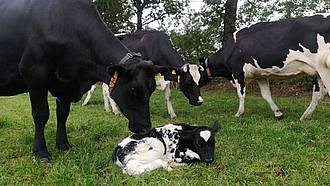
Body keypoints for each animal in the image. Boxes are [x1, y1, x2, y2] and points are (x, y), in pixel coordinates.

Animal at [0, 0, 165, 161]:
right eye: (133, 89)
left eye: (152, 89)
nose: (146, 128)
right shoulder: (34, 72)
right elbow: (41, 114)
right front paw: (41, 151)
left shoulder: (64, 82)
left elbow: (63, 113)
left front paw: (63, 144)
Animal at [199, 13, 330, 120]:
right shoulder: (260, 75)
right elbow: (266, 94)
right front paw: (277, 113)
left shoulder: (238, 72)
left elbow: (241, 94)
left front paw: (239, 113)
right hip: (317, 71)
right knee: (319, 93)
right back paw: (304, 117)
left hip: (324, 66)